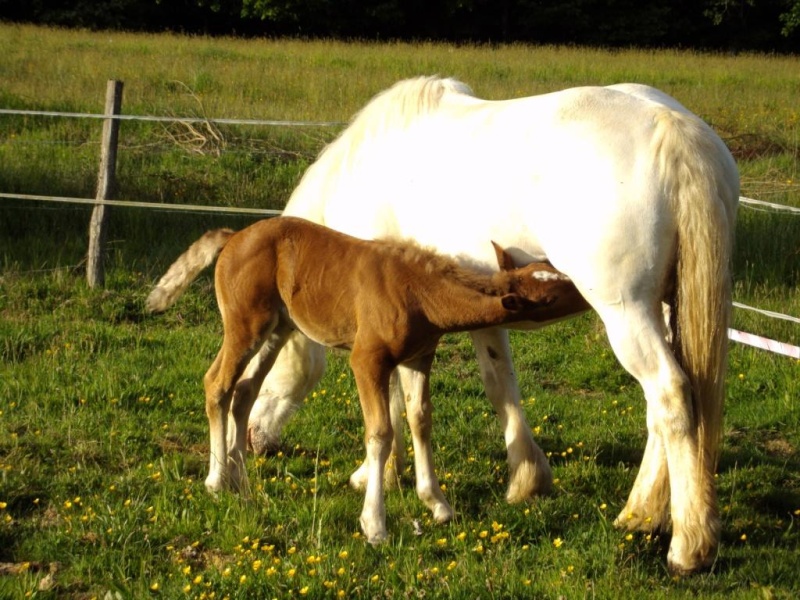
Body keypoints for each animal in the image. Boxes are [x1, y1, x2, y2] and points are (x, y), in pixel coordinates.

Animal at [148, 217, 588, 544]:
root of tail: (233, 236)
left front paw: (438, 505)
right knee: (217, 385)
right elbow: (380, 433)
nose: (585, 289)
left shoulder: (418, 358)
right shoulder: (368, 360)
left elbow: (420, 421)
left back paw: (240, 483)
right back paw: (216, 480)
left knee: (244, 392)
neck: (419, 292)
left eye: (551, 267)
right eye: (549, 296)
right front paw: (375, 525)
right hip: (244, 324)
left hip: (278, 328)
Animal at [244, 77, 736, 576]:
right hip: (665, 309)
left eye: (264, 359)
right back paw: (641, 515)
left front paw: (377, 475)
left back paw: (687, 547)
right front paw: (526, 479)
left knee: (670, 396)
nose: (253, 440)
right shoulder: (481, 311)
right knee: (666, 407)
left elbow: (396, 402)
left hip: (627, 312)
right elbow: (499, 384)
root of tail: (672, 129)